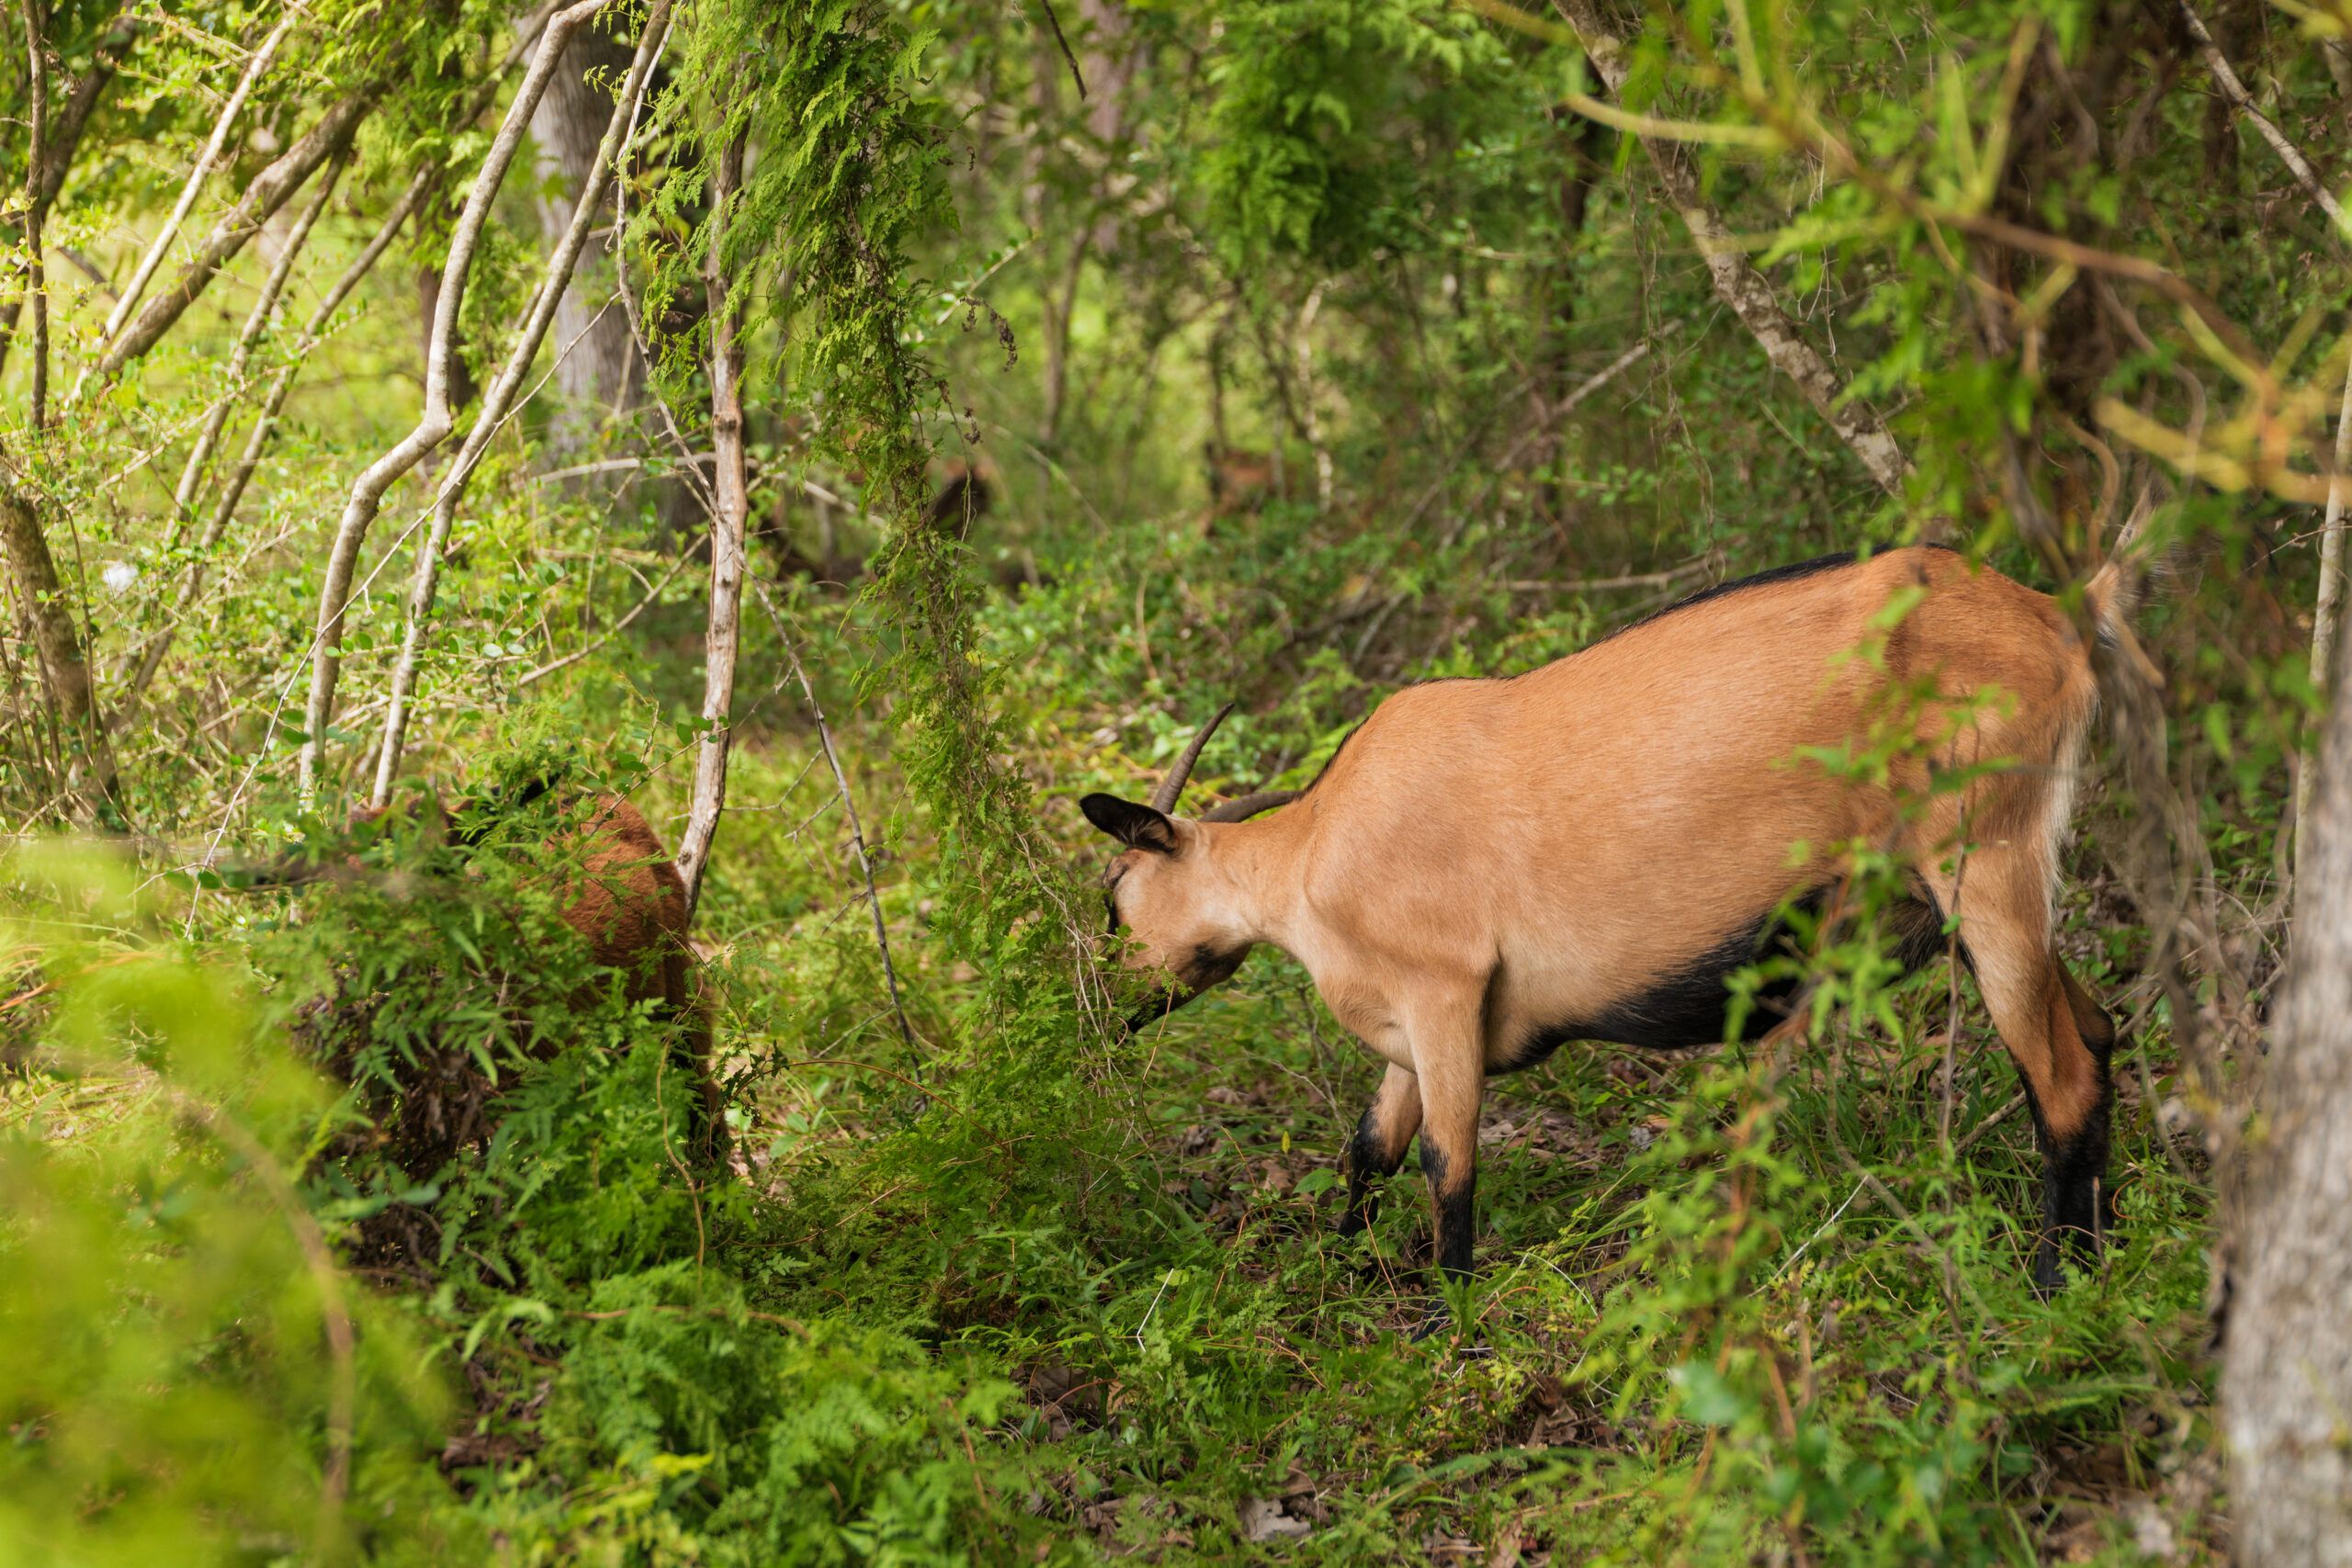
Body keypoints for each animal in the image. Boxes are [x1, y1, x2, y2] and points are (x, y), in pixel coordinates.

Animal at [1081, 546, 2123, 1305]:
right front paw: (1336, 1267)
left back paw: (2053, 1281)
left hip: (1984, 865)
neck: (1307, 858)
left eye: (1115, 891)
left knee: (2061, 1076)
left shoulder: (1445, 990)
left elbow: (1446, 1163)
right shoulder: (1406, 1028)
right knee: (2101, 1028)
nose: (1099, 1009)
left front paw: (1446, 1319)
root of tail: (2062, 615)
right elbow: (1370, 1146)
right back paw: (2104, 1236)